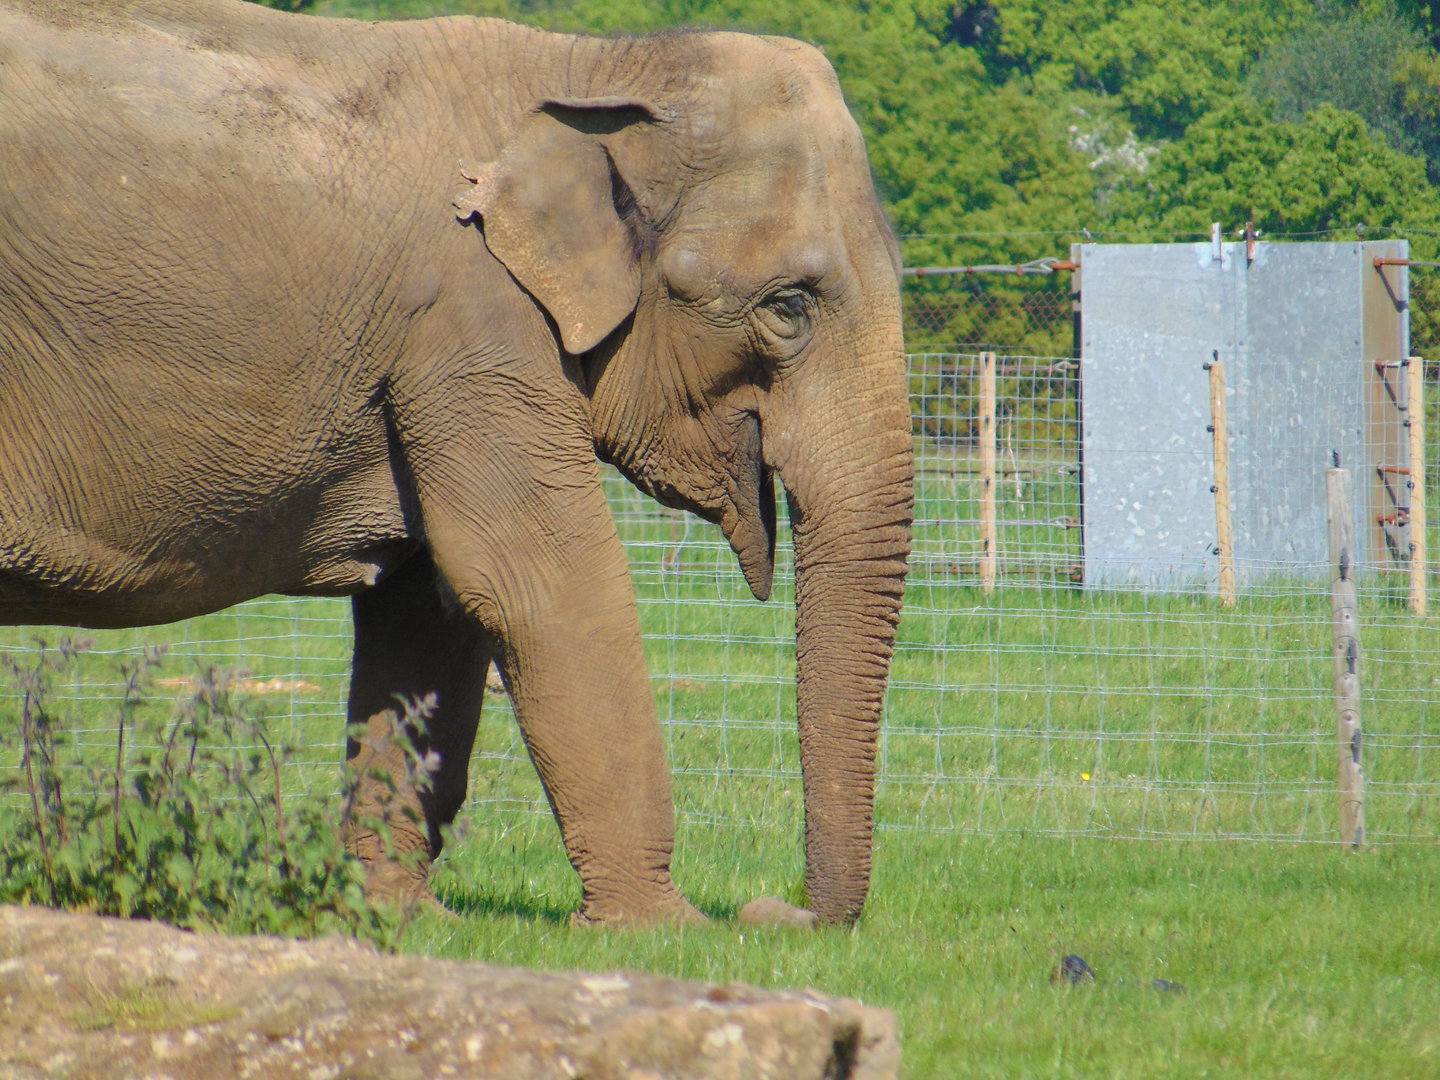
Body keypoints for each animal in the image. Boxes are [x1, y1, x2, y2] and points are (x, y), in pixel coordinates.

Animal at [0, 0, 913, 928]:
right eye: (788, 307)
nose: (774, 913)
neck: (595, 68)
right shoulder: (473, 321)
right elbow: (534, 578)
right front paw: (663, 929)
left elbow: (428, 607)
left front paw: (395, 918)